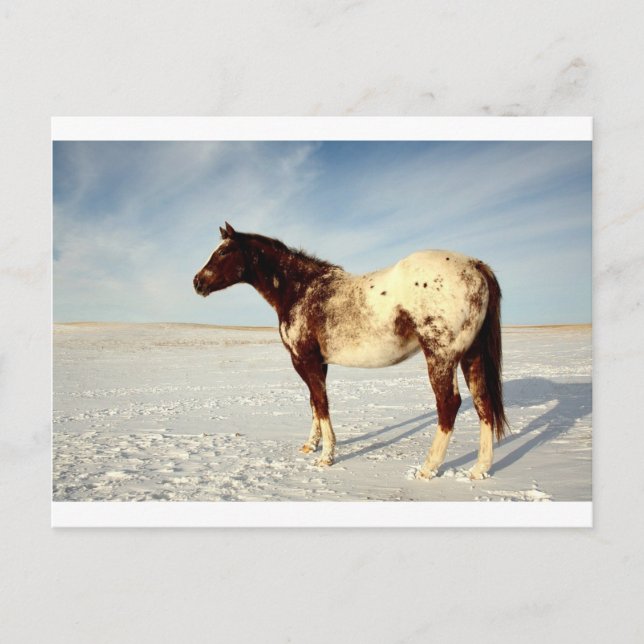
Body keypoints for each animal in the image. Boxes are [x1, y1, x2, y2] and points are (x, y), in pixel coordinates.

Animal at [193, 222, 507, 480]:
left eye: (224, 252)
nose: (197, 282)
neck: (301, 290)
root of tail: (476, 265)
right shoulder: (318, 363)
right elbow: (313, 403)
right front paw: (311, 445)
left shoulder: (304, 359)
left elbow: (321, 404)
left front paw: (326, 457)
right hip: (471, 356)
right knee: (482, 403)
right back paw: (479, 469)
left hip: (440, 356)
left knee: (449, 404)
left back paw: (428, 468)